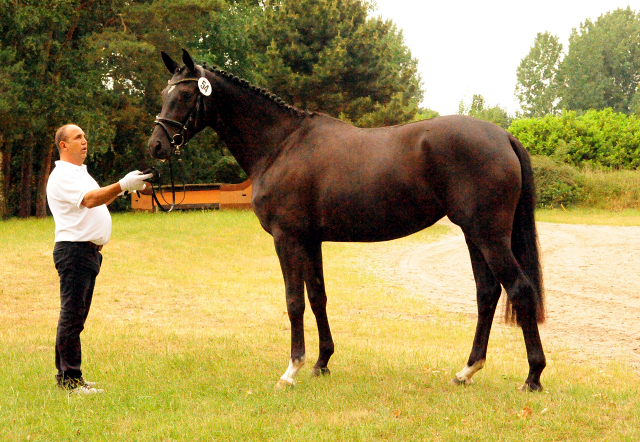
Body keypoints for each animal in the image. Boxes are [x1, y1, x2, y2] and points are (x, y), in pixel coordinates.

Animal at [149, 50, 544, 392]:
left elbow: (294, 300)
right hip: (473, 235)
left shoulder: (286, 238)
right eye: (165, 94)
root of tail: (504, 136)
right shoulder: (310, 240)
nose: (156, 146)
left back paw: (533, 377)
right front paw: (321, 363)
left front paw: (291, 370)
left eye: (184, 95)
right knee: (487, 293)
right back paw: (467, 370)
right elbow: (317, 296)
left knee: (520, 289)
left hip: (489, 236)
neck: (281, 145)